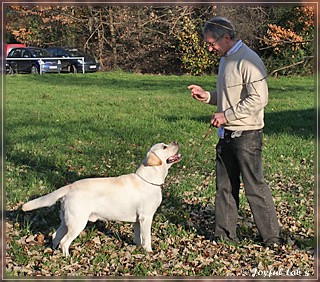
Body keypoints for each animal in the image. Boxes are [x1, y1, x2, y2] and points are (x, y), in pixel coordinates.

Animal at [22, 142, 181, 256]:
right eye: (165, 147)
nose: (176, 141)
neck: (149, 179)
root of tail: (70, 186)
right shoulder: (146, 217)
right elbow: (147, 237)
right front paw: (149, 252)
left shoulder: (137, 220)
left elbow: (137, 236)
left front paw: (136, 247)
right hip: (78, 222)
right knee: (64, 241)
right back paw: (67, 258)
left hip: (67, 221)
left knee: (56, 235)